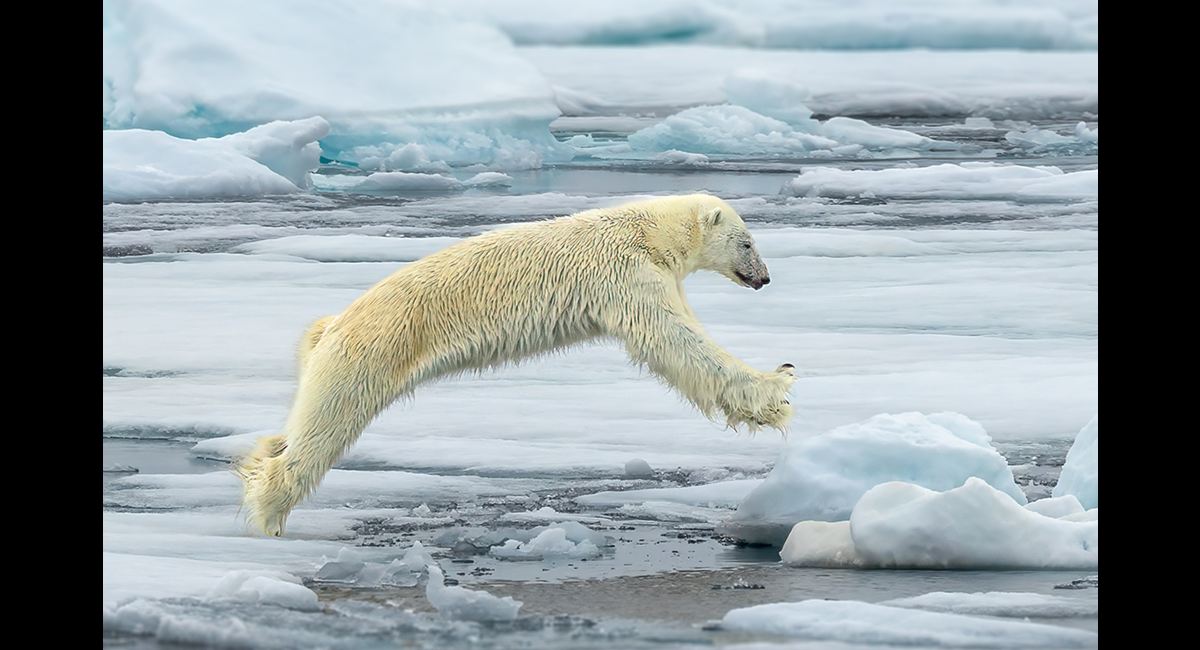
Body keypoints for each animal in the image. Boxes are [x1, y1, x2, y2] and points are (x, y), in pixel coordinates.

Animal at [237, 193, 796, 536]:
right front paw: (776, 388)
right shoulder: (626, 273)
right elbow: (676, 341)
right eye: (748, 242)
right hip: (370, 354)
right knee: (324, 427)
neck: (648, 231)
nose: (765, 278)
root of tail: (329, 328)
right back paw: (270, 513)